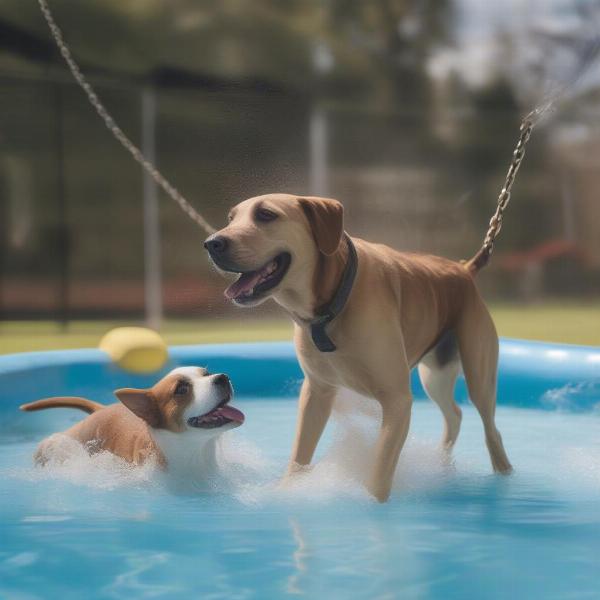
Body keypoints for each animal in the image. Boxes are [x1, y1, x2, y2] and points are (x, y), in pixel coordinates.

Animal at [205, 196, 510, 502]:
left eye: (266, 215)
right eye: (231, 219)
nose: (211, 243)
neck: (331, 302)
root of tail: (464, 270)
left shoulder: (397, 402)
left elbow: (379, 474)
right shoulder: (316, 395)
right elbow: (299, 454)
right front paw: (288, 489)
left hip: (479, 378)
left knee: (491, 429)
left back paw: (503, 471)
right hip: (434, 376)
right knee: (455, 414)